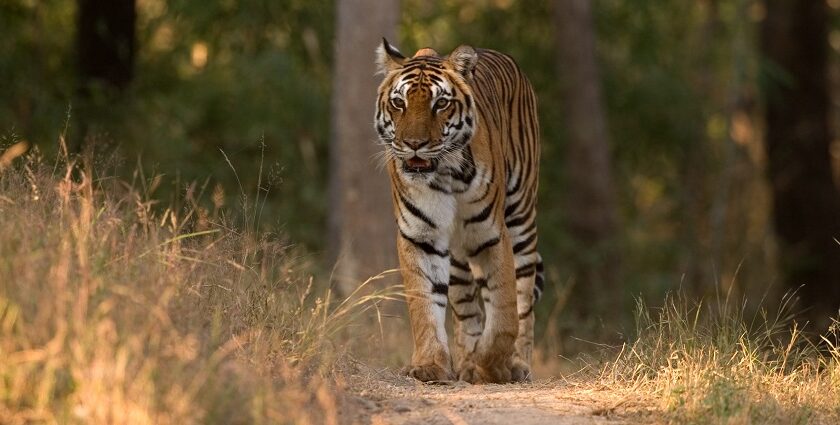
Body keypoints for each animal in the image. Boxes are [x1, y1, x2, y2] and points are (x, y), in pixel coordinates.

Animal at [374, 39, 544, 384]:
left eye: (440, 104)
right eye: (399, 103)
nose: (414, 144)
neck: (443, 174)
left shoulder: (491, 233)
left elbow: (504, 308)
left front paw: (492, 366)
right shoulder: (421, 236)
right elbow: (424, 303)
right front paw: (429, 365)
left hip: (521, 218)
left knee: (522, 297)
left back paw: (516, 364)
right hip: (458, 256)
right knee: (467, 308)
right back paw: (466, 363)